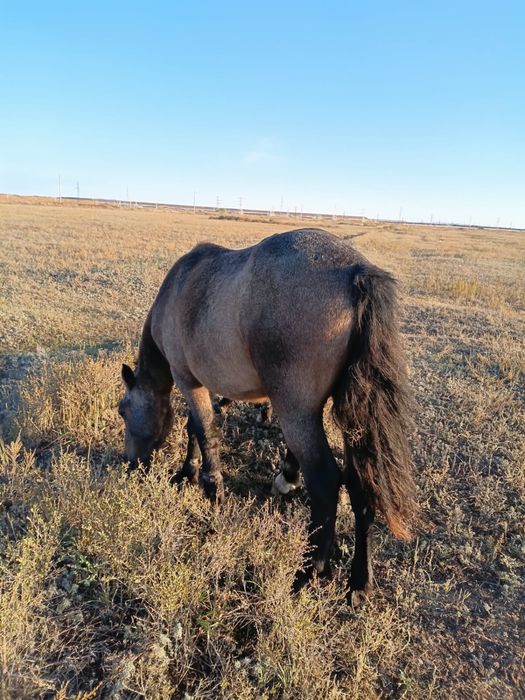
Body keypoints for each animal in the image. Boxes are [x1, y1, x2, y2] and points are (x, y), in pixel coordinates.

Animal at [118, 227, 416, 600]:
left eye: (122, 411)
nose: (129, 463)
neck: (179, 287)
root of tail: (355, 271)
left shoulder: (189, 381)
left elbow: (203, 430)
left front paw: (207, 489)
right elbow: (194, 429)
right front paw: (191, 471)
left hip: (297, 413)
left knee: (325, 482)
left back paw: (307, 573)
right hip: (352, 421)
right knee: (360, 484)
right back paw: (359, 583)